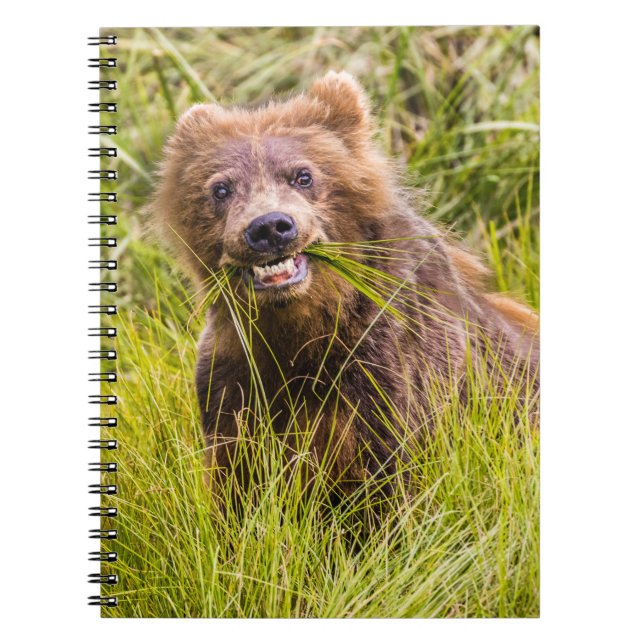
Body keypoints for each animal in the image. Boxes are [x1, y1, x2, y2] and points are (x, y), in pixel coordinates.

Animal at [150, 71, 539, 501]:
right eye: (220, 188)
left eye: (303, 175)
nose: (269, 227)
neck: (303, 325)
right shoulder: (235, 372)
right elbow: (236, 475)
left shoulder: (386, 368)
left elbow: (390, 476)